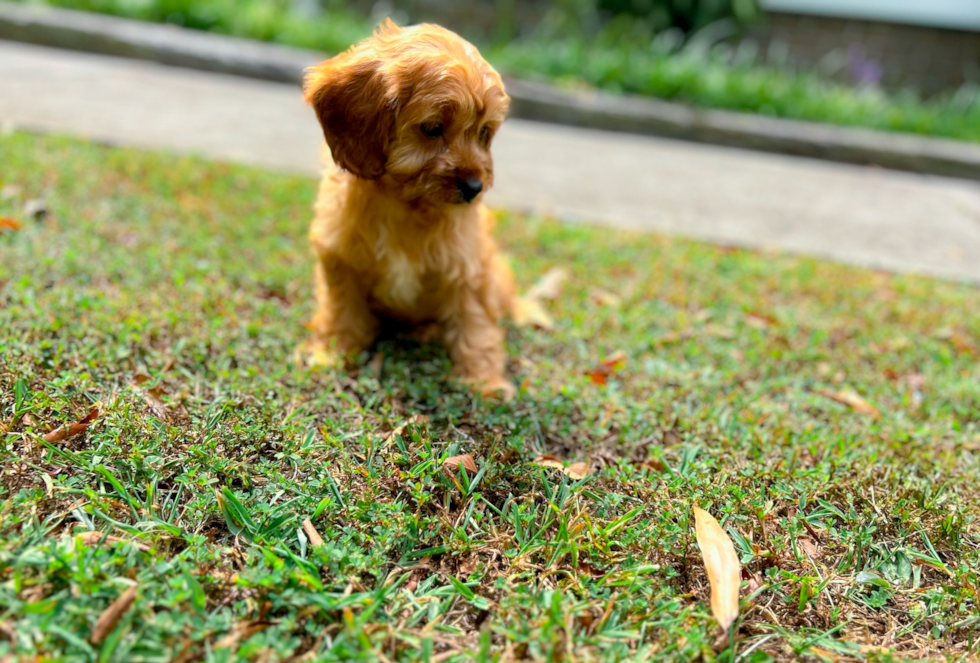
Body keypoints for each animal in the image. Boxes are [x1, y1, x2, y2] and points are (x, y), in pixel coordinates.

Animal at [300, 19, 516, 400]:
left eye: (483, 133)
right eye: (432, 128)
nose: (474, 188)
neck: (404, 202)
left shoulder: (469, 267)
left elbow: (475, 324)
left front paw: (484, 382)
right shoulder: (340, 257)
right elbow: (341, 309)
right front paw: (333, 351)